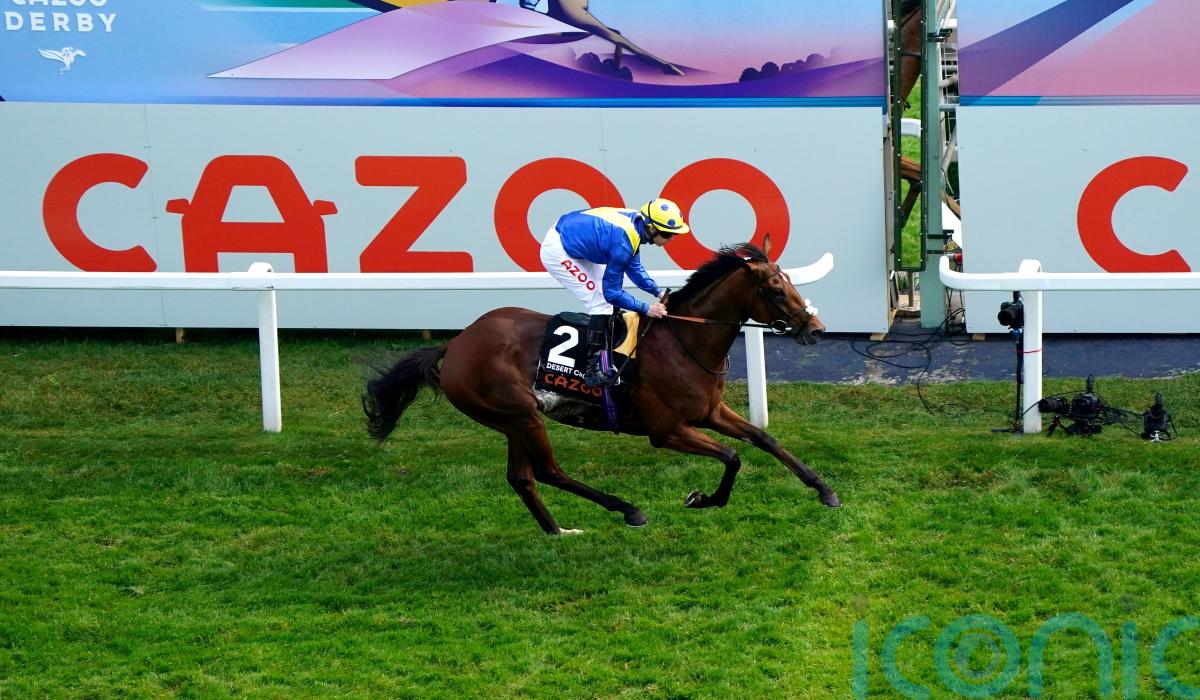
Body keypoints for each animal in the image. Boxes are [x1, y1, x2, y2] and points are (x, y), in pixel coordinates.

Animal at [362, 240, 841, 535]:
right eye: (775, 289)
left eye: (789, 281)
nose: (816, 329)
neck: (682, 341)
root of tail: (456, 343)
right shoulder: (666, 431)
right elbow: (732, 456)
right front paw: (701, 499)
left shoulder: (709, 412)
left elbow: (764, 440)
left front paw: (824, 490)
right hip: (520, 414)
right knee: (548, 471)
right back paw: (628, 509)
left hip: (513, 420)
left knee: (521, 477)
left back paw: (558, 530)